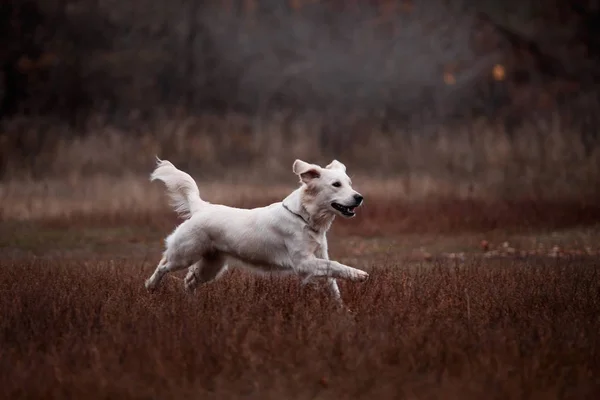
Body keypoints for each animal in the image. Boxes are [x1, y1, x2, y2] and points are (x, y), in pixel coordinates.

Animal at [145, 156, 368, 304]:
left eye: (349, 184)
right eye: (336, 184)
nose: (359, 197)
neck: (305, 217)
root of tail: (202, 208)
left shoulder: (319, 256)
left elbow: (333, 281)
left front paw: (342, 309)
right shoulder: (303, 262)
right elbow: (336, 266)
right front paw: (359, 274)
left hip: (212, 265)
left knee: (189, 281)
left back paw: (192, 303)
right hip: (184, 254)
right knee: (163, 265)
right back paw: (151, 286)